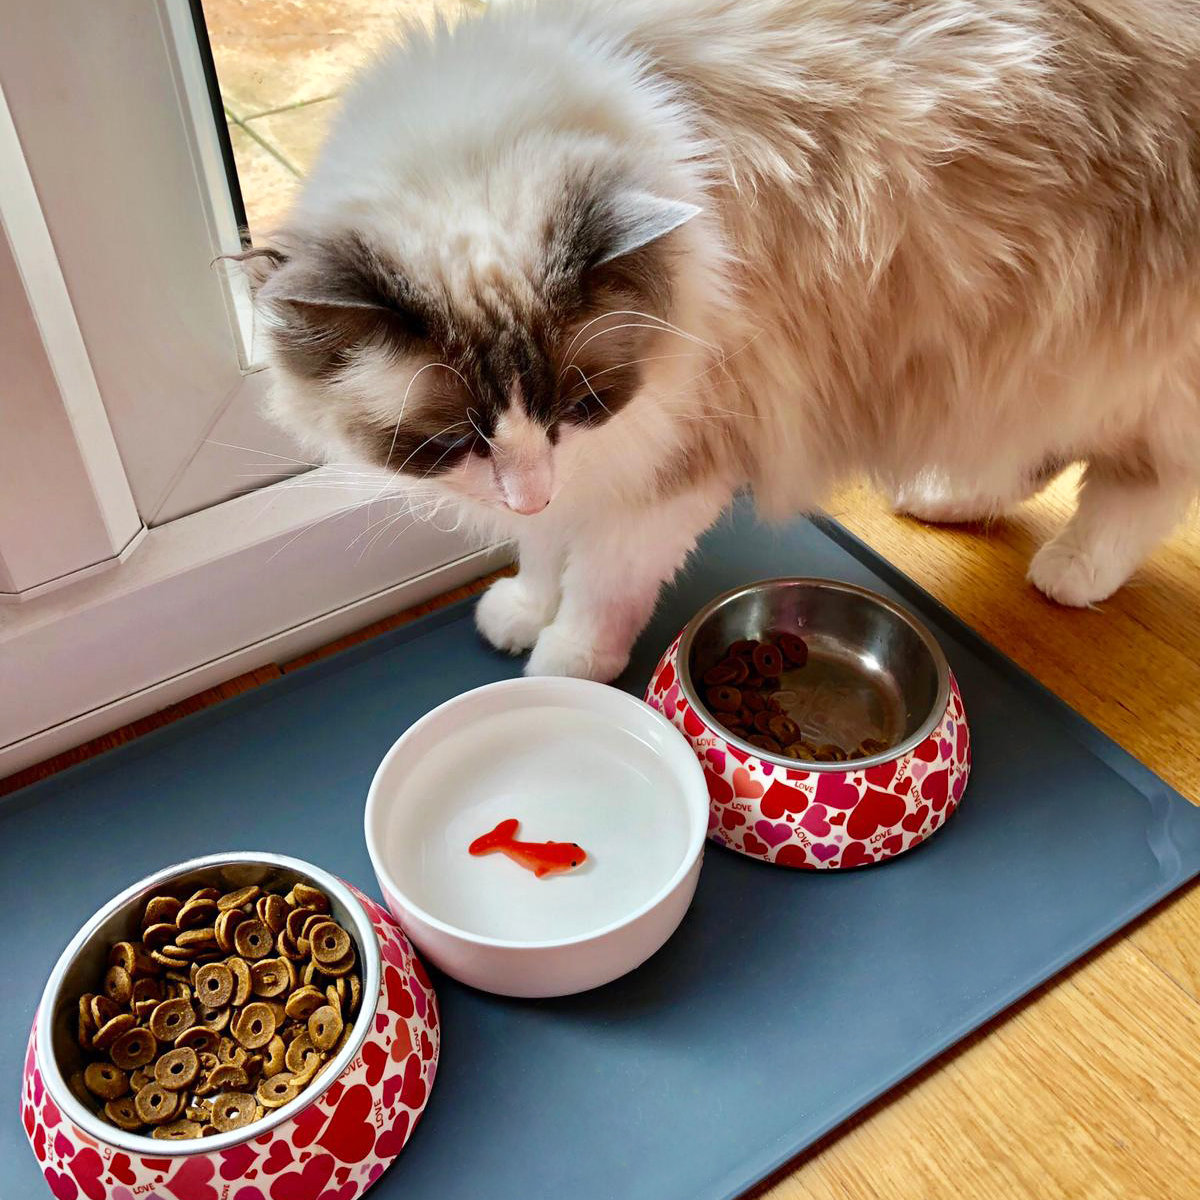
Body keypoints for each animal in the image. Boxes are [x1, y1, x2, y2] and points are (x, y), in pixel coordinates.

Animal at [243, 0, 1200, 681]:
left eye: (580, 404)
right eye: (454, 441)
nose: (528, 494)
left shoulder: (671, 458)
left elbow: (598, 587)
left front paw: (566, 664)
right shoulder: (592, 465)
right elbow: (547, 552)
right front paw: (521, 609)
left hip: (1114, 356)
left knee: (1142, 486)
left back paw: (1071, 570)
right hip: (1006, 359)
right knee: (1027, 452)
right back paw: (944, 498)